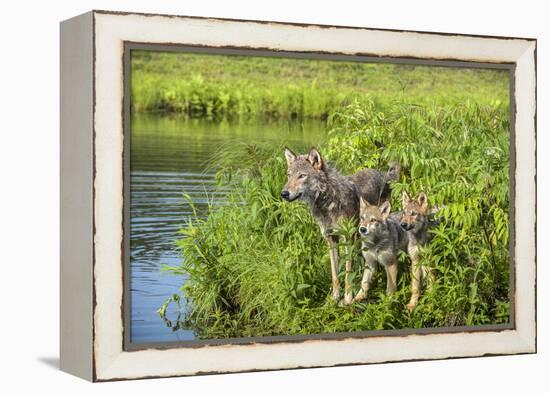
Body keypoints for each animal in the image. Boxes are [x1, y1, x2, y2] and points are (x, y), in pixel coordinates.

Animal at [282, 147, 398, 304]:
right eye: (289, 176)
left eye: (302, 176)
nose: (283, 193)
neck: (327, 203)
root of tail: (383, 173)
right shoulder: (331, 239)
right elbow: (335, 274)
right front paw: (334, 298)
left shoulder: (348, 239)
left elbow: (348, 272)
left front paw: (348, 299)